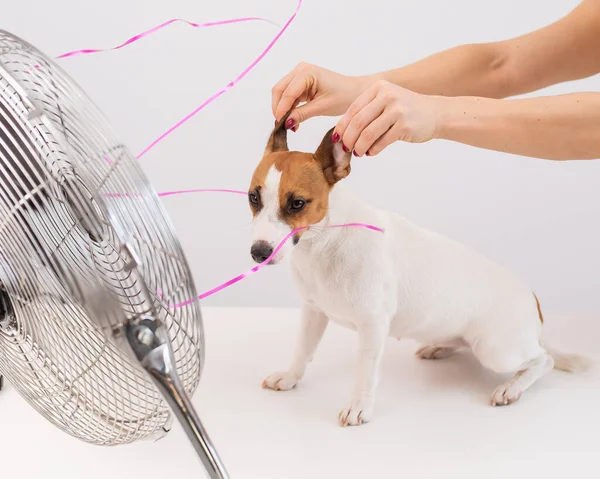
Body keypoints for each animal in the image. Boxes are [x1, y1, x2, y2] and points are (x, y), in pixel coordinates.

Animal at [247, 112, 592, 428]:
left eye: (297, 204)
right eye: (253, 198)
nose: (258, 252)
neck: (324, 244)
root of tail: (533, 300)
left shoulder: (372, 326)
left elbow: (365, 372)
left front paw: (360, 406)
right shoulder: (313, 313)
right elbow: (302, 350)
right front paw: (290, 376)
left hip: (496, 349)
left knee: (543, 360)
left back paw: (512, 387)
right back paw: (440, 346)